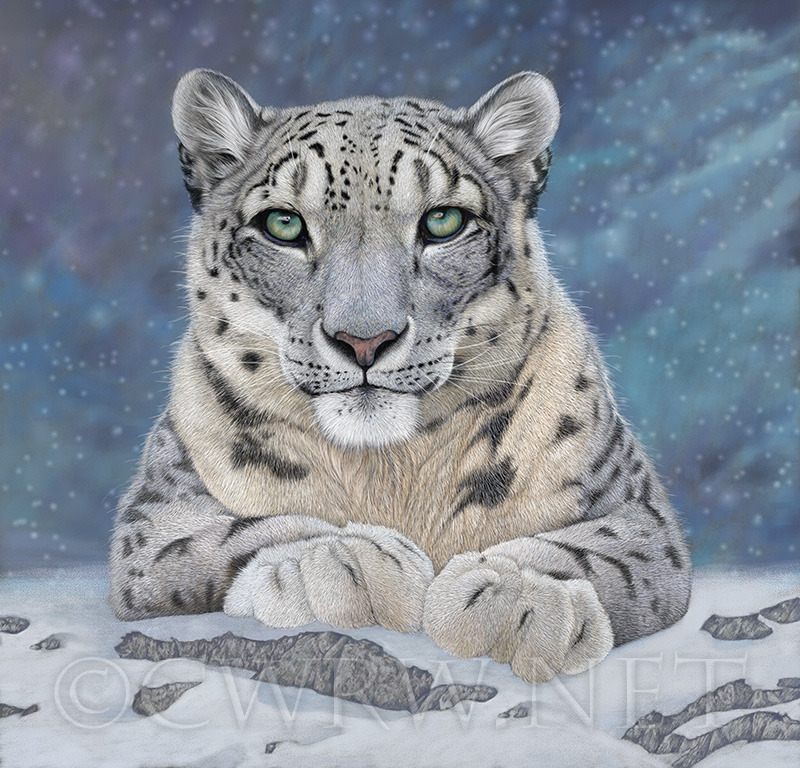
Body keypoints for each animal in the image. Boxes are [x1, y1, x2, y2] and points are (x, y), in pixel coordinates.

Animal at [109, 69, 691, 683]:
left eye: (442, 220)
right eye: (283, 224)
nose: (365, 339)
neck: (387, 471)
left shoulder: (638, 508)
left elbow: (597, 547)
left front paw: (521, 597)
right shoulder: (155, 512)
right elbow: (233, 530)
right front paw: (342, 561)